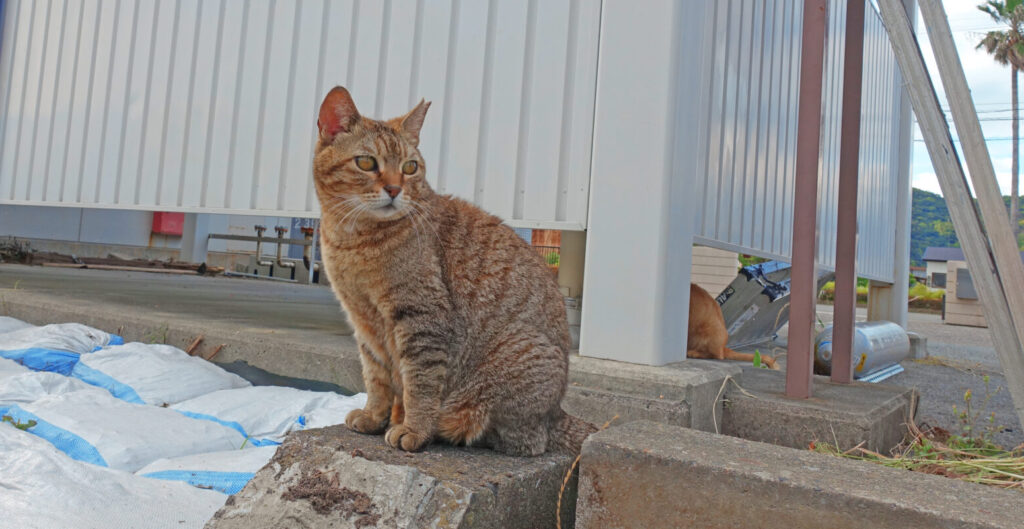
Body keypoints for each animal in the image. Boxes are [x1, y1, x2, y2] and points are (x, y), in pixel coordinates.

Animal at [315, 86, 598, 454]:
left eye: (410, 167)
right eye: (366, 162)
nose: (394, 189)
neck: (352, 240)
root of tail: (556, 413)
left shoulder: (423, 317)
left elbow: (419, 384)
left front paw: (414, 428)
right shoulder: (363, 321)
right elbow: (376, 377)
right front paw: (374, 416)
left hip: (512, 357)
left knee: (518, 440)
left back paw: (437, 427)